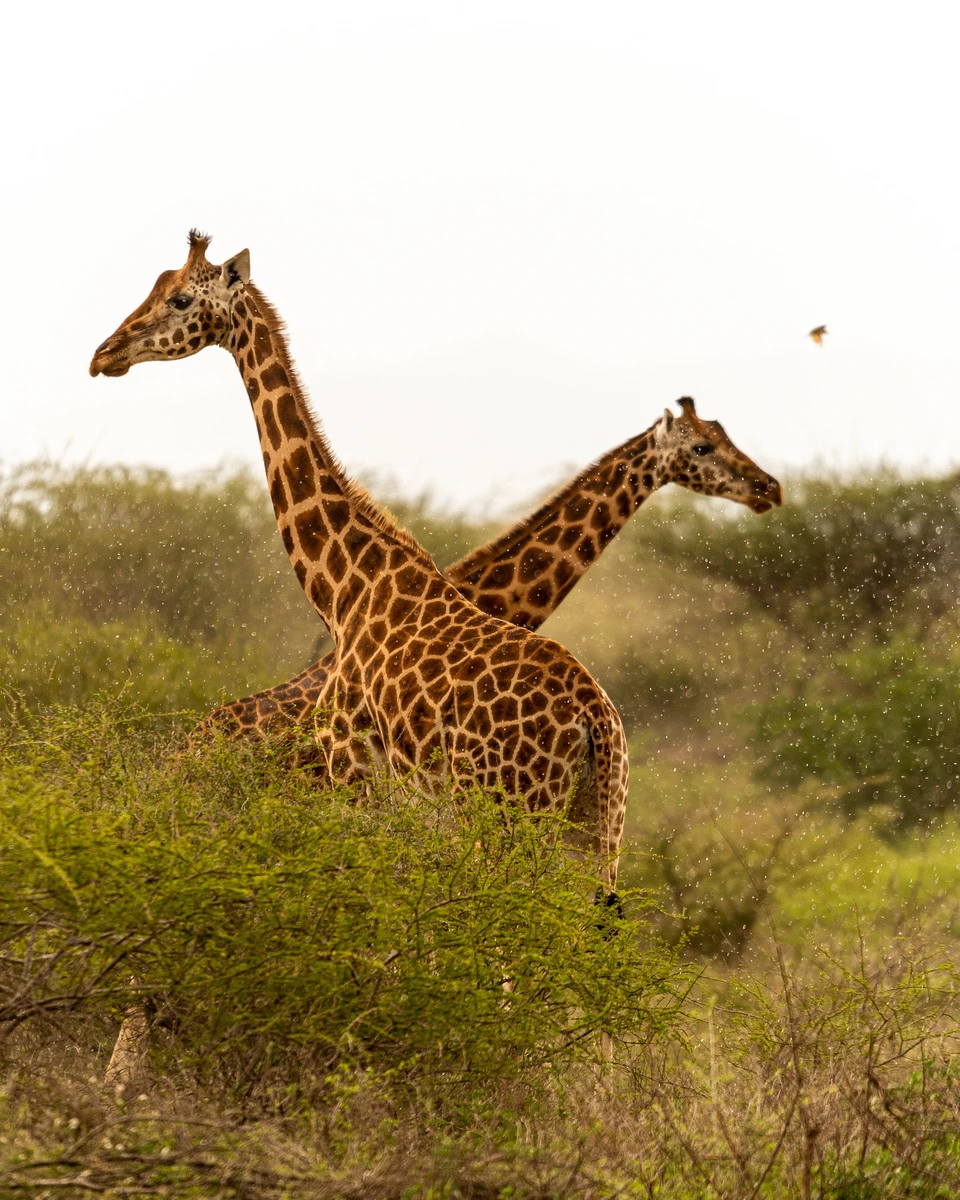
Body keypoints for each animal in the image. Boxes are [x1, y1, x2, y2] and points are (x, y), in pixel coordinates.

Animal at [90, 231, 629, 875]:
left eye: (178, 299)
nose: (104, 354)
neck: (344, 588)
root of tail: (594, 719)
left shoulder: (350, 763)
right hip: (597, 831)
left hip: (508, 813)